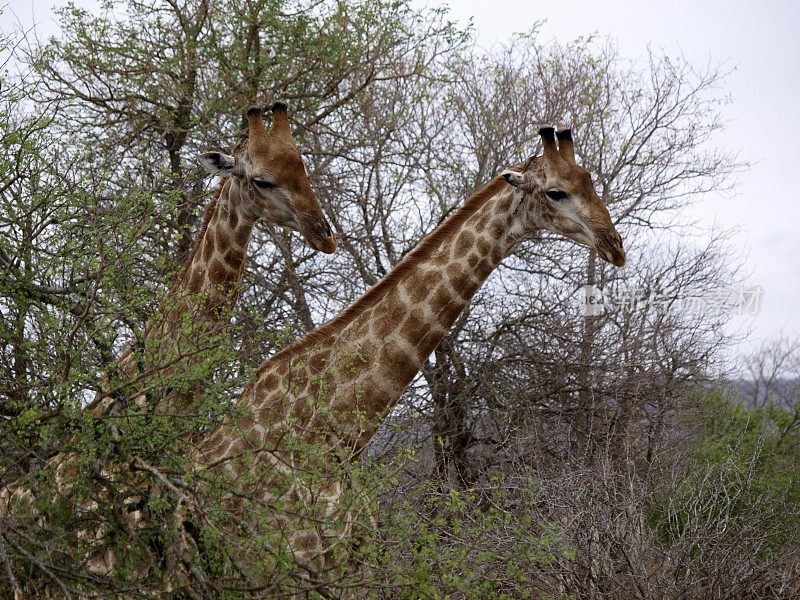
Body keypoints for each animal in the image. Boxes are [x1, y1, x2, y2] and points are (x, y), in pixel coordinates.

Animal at [192, 124, 624, 588]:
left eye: (590, 181)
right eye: (556, 192)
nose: (614, 245)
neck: (333, 434)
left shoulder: (350, 570)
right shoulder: (278, 568)